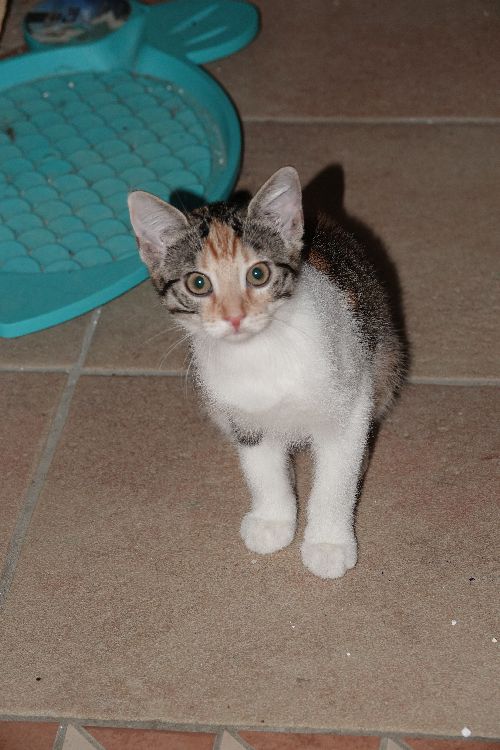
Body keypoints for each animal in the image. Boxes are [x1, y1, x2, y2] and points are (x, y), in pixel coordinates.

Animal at [128, 167, 404, 579]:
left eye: (258, 274)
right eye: (198, 283)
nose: (234, 317)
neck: (260, 353)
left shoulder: (349, 402)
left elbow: (335, 477)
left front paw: (328, 543)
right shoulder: (240, 413)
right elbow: (261, 466)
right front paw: (273, 520)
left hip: (386, 358)